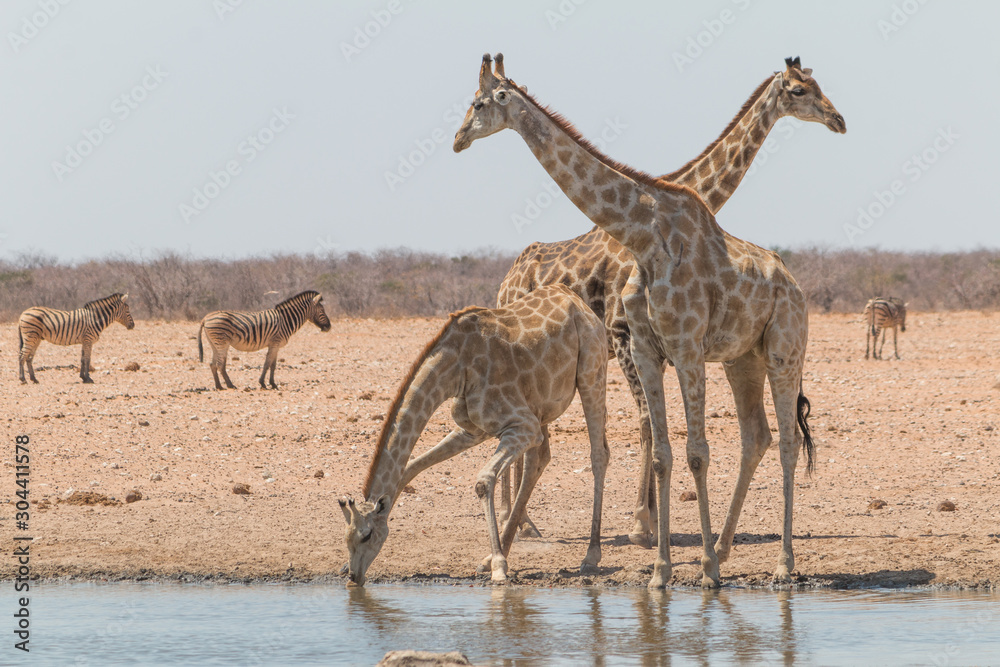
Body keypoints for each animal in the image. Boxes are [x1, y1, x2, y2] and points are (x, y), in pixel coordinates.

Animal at [338, 284, 609, 586]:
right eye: (346, 538)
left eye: (367, 535)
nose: (354, 577)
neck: (456, 369)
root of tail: (575, 300)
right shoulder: (474, 429)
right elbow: (410, 468)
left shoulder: (522, 424)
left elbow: (483, 480)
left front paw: (500, 568)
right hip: (541, 406)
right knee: (539, 460)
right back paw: (494, 554)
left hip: (591, 374)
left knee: (598, 455)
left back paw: (590, 556)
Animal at [454, 54, 816, 588]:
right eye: (799, 89)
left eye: (479, 103)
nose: (458, 138)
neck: (646, 235)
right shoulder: (644, 346)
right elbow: (665, 449)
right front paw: (660, 564)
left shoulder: (682, 347)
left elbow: (693, 450)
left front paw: (694, 562)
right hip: (740, 359)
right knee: (758, 436)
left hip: (782, 350)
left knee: (786, 440)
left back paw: (781, 562)